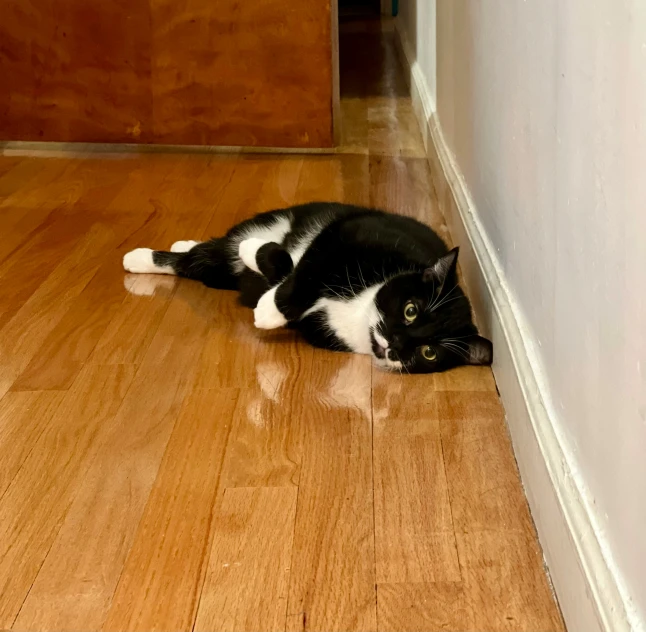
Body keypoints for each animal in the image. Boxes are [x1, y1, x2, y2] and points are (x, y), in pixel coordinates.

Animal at [124, 200, 494, 372]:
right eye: (411, 310)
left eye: (429, 352)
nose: (395, 344)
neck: (360, 311)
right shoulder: (348, 234)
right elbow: (301, 270)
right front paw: (268, 301)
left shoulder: (319, 329)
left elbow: (285, 273)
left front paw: (267, 302)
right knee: (207, 254)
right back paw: (142, 256)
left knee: (203, 264)